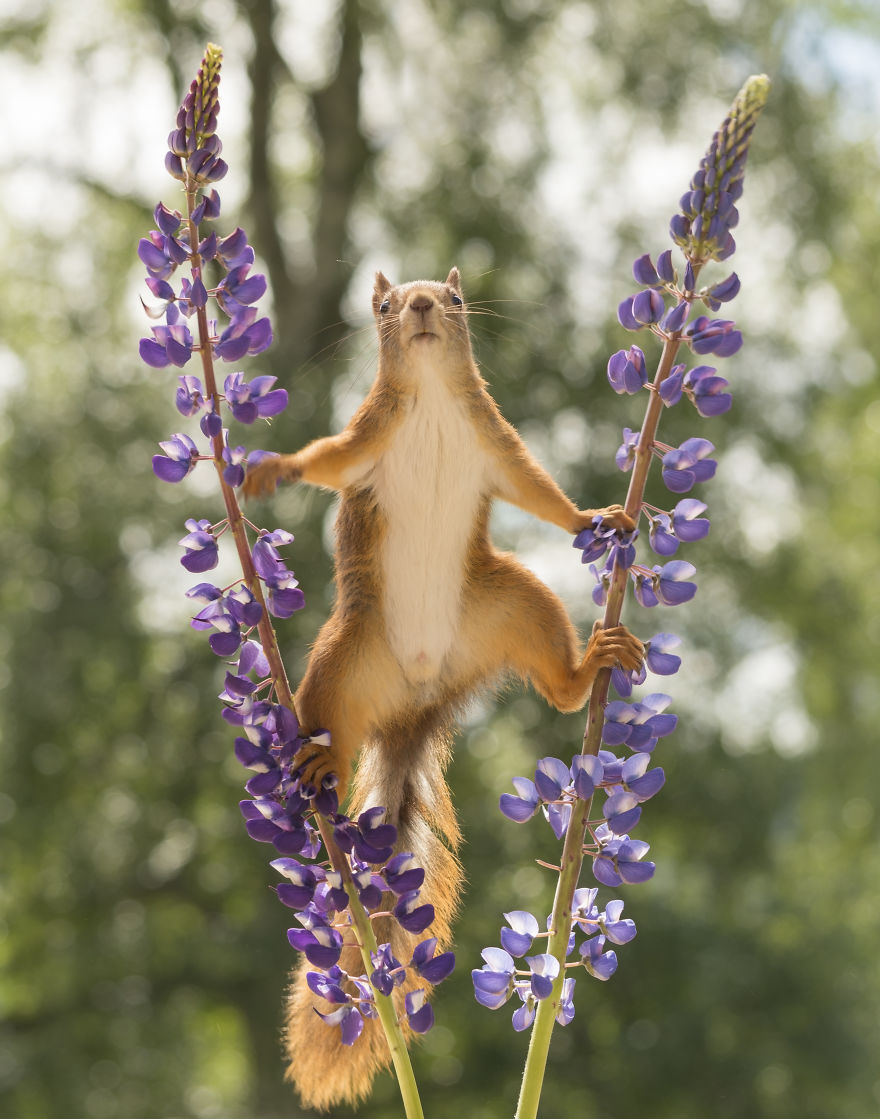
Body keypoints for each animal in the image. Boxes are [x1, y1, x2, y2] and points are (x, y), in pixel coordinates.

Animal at [241, 268, 644, 1110]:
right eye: (386, 305)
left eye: (454, 300)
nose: (424, 305)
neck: (428, 398)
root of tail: (421, 695)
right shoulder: (364, 437)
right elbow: (325, 458)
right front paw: (272, 467)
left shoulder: (497, 442)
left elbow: (542, 492)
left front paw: (597, 513)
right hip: (342, 655)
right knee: (331, 725)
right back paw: (320, 761)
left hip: (518, 602)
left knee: (560, 686)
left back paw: (590, 665)